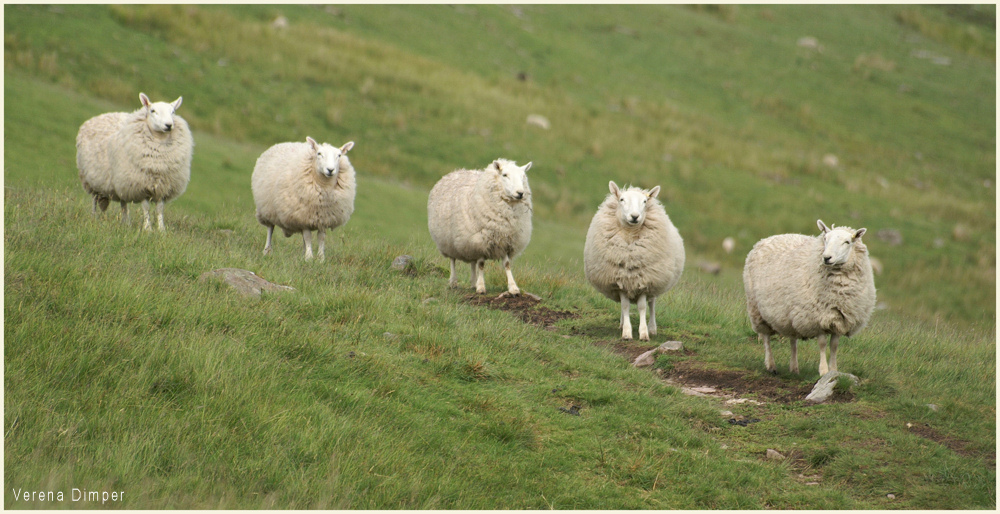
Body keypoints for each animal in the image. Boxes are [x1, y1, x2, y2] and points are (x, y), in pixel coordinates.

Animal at [105, 92, 193, 230]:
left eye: (173, 111)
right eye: (153, 111)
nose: (169, 125)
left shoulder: (163, 186)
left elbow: (160, 209)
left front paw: (161, 229)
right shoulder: (140, 185)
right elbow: (146, 207)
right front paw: (148, 228)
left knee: (123, 203)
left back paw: (125, 222)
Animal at [428, 156, 536, 294]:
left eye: (523, 176)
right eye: (505, 175)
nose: (520, 193)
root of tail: (455, 171)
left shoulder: (505, 240)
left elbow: (506, 265)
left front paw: (513, 288)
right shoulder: (480, 240)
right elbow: (481, 264)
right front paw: (481, 287)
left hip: (469, 243)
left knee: (472, 262)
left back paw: (473, 282)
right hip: (448, 241)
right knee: (453, 260)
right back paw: (453, 282)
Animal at [584, 180, 684, 340]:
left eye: (644, 201)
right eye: (621, 199)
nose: (635, 216)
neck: (630, 236)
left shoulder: (644, 281)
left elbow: (642, 307)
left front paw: (643, 333)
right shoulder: (621, 281)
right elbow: (624, 306)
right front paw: (626, 332)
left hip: (655, 280)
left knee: (652, 304)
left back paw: (652, 328)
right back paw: (621, 323)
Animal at [744, 218, 876, 374]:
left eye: (847, 242)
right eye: (825, 239)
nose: (826, 258)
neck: (838, 293)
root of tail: (767, 239)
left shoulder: (839, 319)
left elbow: (834, 345)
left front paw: (833, 370)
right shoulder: (817, 318)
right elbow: (823, 344)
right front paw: (823, 370)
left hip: (791, 313)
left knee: (793, 339)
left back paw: (794, 368)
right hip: (757, 309)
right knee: (766, 338)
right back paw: (771, 365)